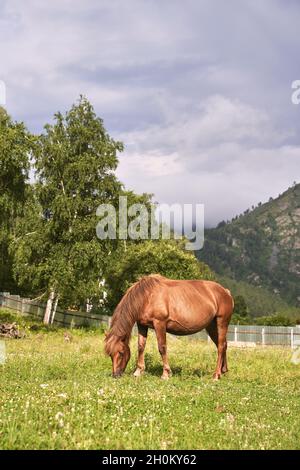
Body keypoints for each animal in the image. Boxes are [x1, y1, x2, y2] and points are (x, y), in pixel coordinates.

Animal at [105, 274, 234, 380]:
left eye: (121, 353)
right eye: (110, 354)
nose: (116, 375)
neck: (147, 296)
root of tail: (226, 292)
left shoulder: (159, 324)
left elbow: (162, 347)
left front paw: (166, 374)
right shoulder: (142, 325)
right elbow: (141, 346)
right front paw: (138, 371)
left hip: (222, 323)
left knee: (221, 346)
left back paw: (216, 375)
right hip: (211, 326)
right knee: (222, 345)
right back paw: (223, 371)